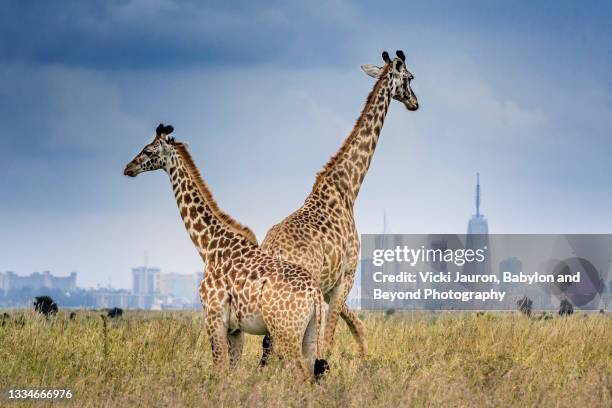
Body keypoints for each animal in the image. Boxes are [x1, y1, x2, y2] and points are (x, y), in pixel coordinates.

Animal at [123, 124, 330, 382]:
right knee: (312, 374)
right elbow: (232, 370)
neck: (210, 246)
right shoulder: (235, 328)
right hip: (311, 333)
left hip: (286, 331)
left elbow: (219, 367)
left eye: (148, 150)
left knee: (300, 374)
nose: (128, 168)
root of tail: (315, 295)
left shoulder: (214, 317)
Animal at [256, 50, 418, 364]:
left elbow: (359, 328)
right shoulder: (347, 276)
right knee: (284, 347)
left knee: (269, 348)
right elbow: (328, 340)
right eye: (409, 78)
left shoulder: (331, 287)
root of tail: (275, 250)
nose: (416, 102)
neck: (347, 190)